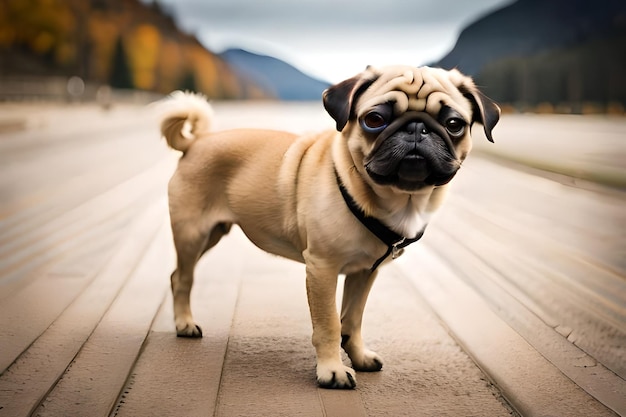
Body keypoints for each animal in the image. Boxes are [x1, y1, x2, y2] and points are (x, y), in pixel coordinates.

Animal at [157, 64, 498, 386]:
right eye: (375, 119)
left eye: (454, 124)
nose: (417, 126)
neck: (397, 198)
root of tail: (196, 142)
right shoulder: (322, 269)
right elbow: (329, 323)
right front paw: (332, 370)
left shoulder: (364, 273)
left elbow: (353, 320)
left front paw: (358, 356)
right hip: (192, 233)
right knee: (184, 278)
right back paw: (185, 323)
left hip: (212, 234)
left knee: (175, 275)